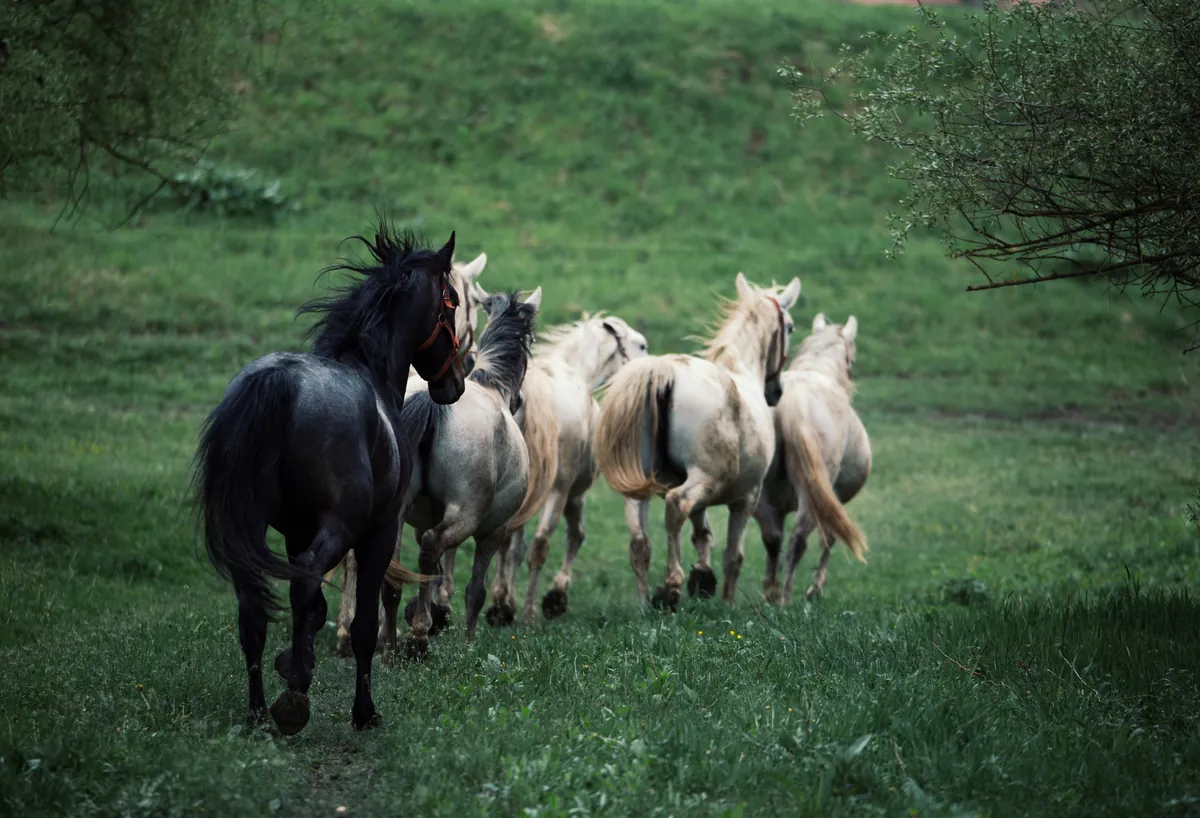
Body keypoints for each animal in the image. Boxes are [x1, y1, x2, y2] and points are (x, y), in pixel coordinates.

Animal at [193, 224, 466, 735]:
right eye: (453, 301)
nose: (455, 382)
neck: (370, 371)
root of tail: (276, 383)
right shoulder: (378, 532)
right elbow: (360, 625)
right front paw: (359, 708)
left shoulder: (297, 533)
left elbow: (316, 610)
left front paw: (296, 664)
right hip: (341, 529)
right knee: (299, 589)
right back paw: (292, 706)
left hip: (253, 527)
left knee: (252, 610)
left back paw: (258, 711)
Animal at [392, 288, 542, 660]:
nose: (519, 400)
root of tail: (431, 403)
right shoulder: (493, 531)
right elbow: (475, 590)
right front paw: (468, 644)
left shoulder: (420, 523)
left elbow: (432, 576)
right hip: (468, 515)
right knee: (432, 547)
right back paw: (420, 633)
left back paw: (386, 644)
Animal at [482, 311, 650, 626]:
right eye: (642, 345)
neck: (577, 371)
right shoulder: (570, 493)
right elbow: (572, 537)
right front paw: (553, 597)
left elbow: (514, 548)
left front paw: (507, 600)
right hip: (559, 490)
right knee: (542, 545)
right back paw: (530, 612)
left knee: (508, 541)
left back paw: (499, 605)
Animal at [593, 272, 801, 610]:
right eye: (791, 327)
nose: (776, 392)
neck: (740, 369)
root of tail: (664, 371)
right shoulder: (746, 498)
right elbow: (733, 556)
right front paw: (726, 601)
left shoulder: (706, 498)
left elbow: (702, 535)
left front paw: (702, 577)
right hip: (704, 479)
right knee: (677, 505)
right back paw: (670, 586)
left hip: (642, 488)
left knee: (640, 543)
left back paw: (644, 603)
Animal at [754, 313, 869, 604]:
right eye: (852, 359)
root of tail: (791, 405)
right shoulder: (832, 497)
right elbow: (829, 537)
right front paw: (815, 589)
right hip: (810, 497)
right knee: (799, 542)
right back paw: (785, 599)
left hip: (759, 495)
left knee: (772, 539)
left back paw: (771, 595)